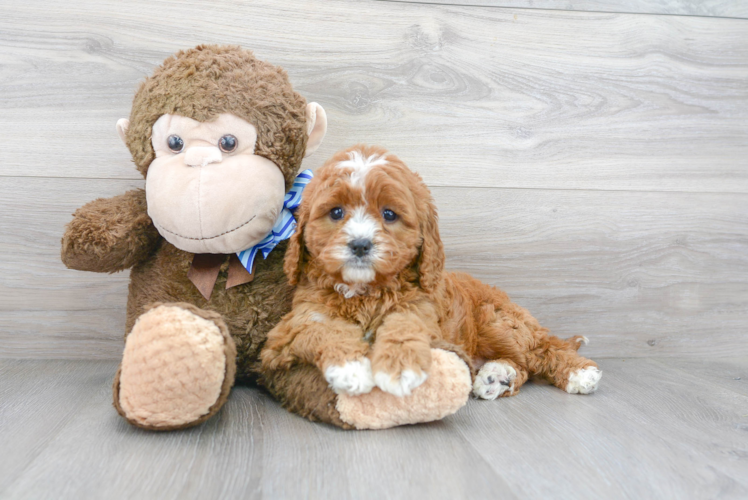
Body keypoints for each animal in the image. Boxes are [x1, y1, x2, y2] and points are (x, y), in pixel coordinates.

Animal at [262, 145, 600, 398]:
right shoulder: (293, 326)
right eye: (335, 212)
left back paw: (579, 373)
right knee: (523, 367)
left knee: (540, 351)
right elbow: (324, 329)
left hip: (498, 321)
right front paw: (353, 368)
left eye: (389, 214)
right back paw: (495, 377)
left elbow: (404, 326)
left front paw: (400, 368)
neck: (365, 292)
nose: (360, 244)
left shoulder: (421, 309)